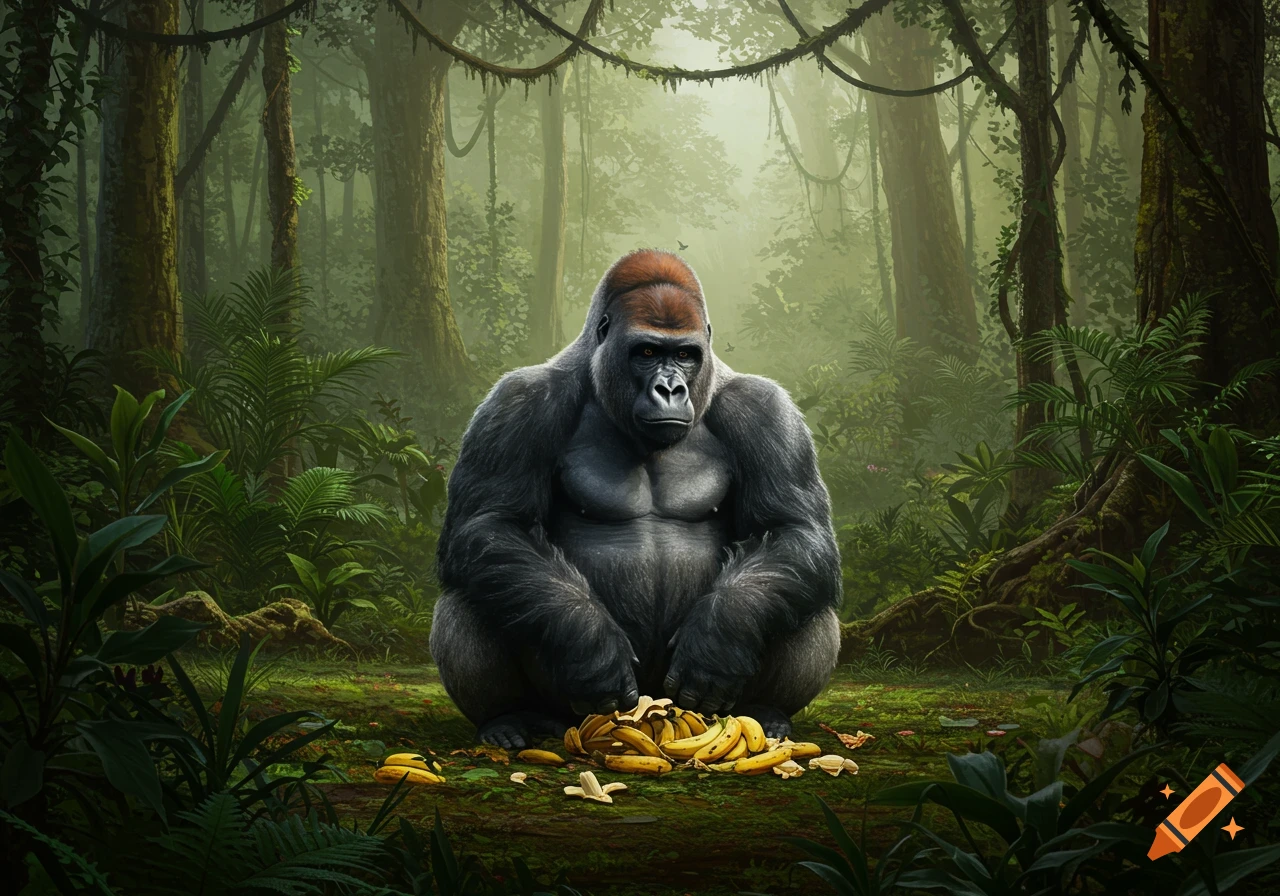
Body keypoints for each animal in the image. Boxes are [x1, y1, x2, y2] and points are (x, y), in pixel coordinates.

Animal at [430, 249, 842, 749]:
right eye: (646, 352)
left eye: (684, 354)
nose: (670, 389)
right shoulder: (518, 402)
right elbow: (490, 524)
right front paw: (588, 642)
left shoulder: (765, 410)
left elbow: (792, 529)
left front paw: (721, 634)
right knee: (471, 590)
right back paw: (509, 717)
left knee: (805, 595)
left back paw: (768, 712)